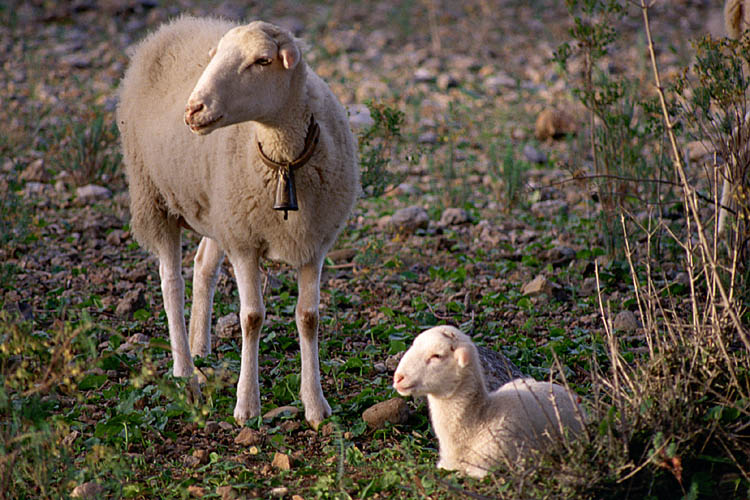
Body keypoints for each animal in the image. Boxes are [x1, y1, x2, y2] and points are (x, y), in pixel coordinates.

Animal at [117, 16, 362, 430]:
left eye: (262, 60)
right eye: (214, 56)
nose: (193, 109)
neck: (281, 157)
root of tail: (172, 26)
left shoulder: (312, 243)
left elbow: (308, 318)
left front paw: (315, 406)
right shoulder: (245, 244)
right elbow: (251, 318)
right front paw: (247, 407)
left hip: (219, 211)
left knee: (203, 266)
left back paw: (201, 354)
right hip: (154, 196)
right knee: (171, 283)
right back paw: (185, 372)